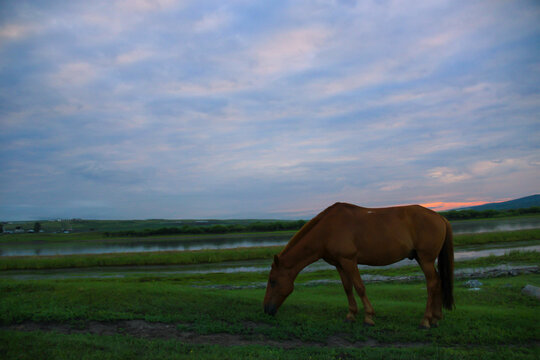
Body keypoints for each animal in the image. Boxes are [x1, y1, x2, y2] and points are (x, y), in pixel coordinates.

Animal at [264, 202, 454, 330]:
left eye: (273, 281)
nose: (266, 309)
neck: (326, 230)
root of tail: (440, 217)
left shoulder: (349, 261)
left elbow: (360, 287)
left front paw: (368, 317)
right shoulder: (340, 264)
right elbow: (347, 288)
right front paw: (351, 315)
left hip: (425, 259)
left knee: (432, 284)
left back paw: (426, 320)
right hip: (421, 259)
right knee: (438, 282)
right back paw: (436, 318)